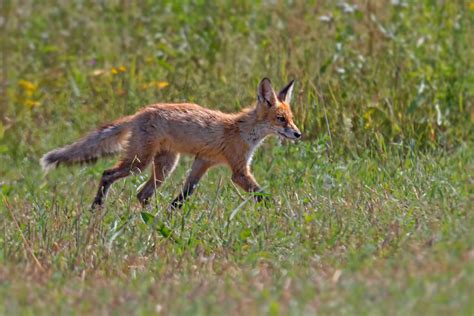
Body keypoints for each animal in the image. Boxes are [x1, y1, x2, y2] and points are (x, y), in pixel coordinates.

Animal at [40, 78, 300, 209]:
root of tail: (139, 113)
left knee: (142, 194)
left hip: (165, 166)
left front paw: (170, 216)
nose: (298, 134)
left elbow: (183, 197)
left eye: (291, 118)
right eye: (281, 119)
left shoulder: (203, 161)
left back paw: (148, 219)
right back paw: (97, 206)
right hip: (140, 162)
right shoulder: (239, 171)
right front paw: (282, 212)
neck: (242, 130)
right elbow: (263, 196)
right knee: (107, 174)